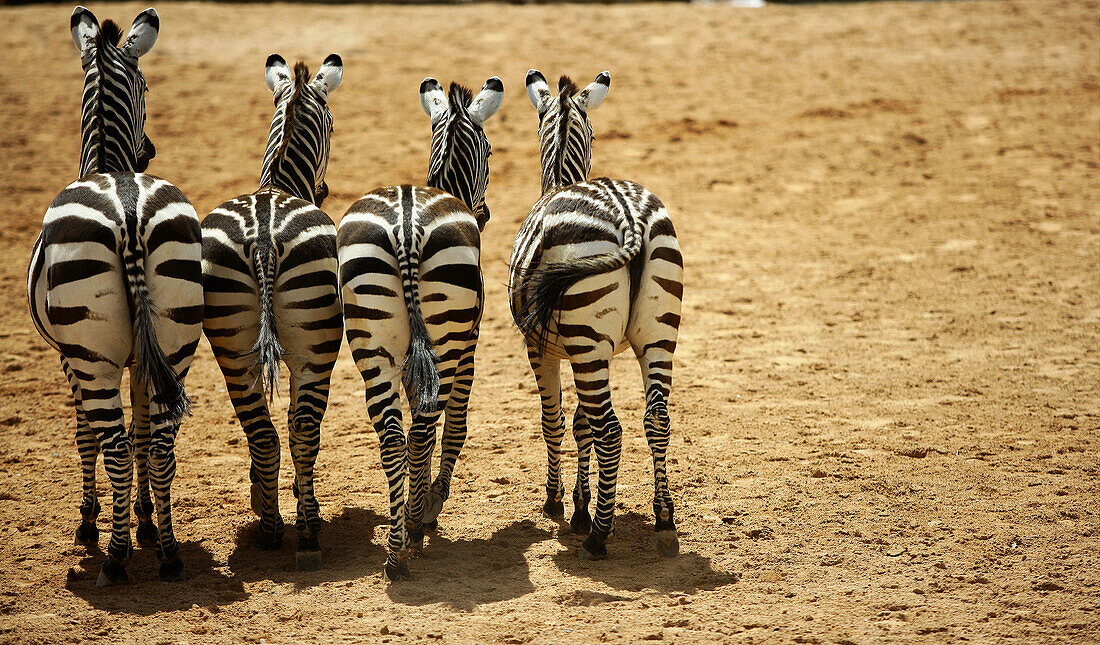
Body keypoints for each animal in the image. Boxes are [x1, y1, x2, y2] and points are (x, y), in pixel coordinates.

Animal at [27, 7, 204, 585]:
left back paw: (117, 557)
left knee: (117, 447)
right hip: (177, 342)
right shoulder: (143, 359)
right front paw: (147, 519)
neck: (109, 165)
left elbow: (86, 436)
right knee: (161, 445)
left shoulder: (69, 359)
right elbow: (145, 428)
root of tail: (128, 210)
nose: (148, 151)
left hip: (93, 357)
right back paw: (167, 552)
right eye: (146, 85)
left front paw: (89, 522)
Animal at [202, 53, 343, 567]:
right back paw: (307, 534)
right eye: (332, 126)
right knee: (302, 432)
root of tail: (263, 236)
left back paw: (269, 526)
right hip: (314, 350)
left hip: (233, 349)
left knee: (262, 433)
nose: (325, 189)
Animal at [336, 77, 503, 581]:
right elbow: (456, 425)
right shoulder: (469, 347)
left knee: (395, 435)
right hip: (447, 343)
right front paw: (429, 505)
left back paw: (394, 550)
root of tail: (407, 226)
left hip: (372, 346)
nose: (484, 215)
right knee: (426, 427)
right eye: (491, 149)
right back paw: (411, 528)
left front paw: (418, 499)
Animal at [508, 70, 682, 559]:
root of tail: (628, 217)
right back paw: (665, 520)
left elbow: (554, 422)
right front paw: (581, 504)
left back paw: (600, 536)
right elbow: (580, 423)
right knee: (655, 420)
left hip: (587, 343)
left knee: (611, 430)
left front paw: (558, 501)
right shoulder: (594, 350)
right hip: (656, 335)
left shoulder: (541, 349)